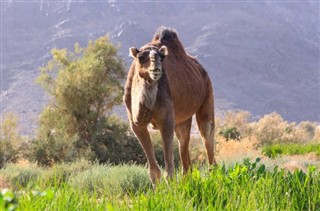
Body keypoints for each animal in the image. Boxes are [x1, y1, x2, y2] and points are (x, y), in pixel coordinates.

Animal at [124, 26, 216, 185]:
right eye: (141, 57)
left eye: (162, 57)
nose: (156, 69)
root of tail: (201, 69)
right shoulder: (135, 124)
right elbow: (153, 171)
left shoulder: (166, 119)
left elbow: (169, 170)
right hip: (182, 118)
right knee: (183, 142)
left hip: (208, 92)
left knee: (207, 132)